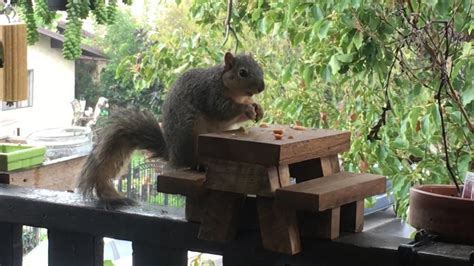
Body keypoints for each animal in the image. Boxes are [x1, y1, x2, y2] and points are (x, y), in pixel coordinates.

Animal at [76, 52, 264, 206]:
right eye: (242, 72)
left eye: (260, 68)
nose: (261, 87)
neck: (233, 90)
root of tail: (172, 154)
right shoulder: (210, 94)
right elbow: (222, 110)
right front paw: (246, 109)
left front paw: (258, 109)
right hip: (190, 132)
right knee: (188, 163)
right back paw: (199, 165)